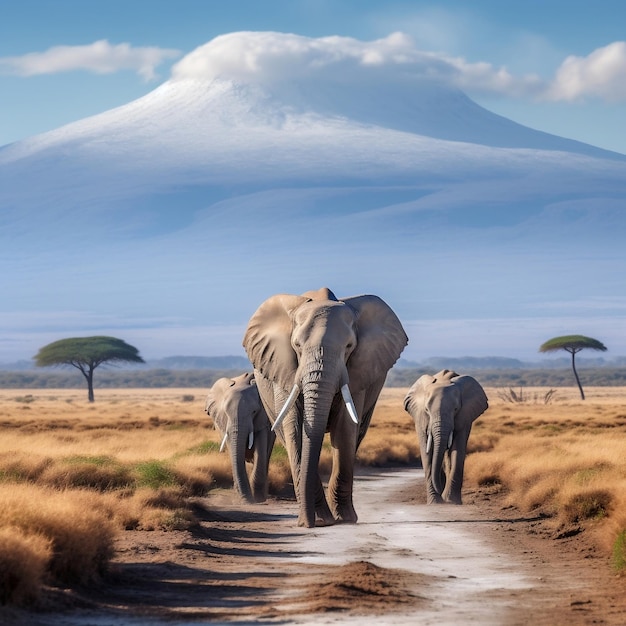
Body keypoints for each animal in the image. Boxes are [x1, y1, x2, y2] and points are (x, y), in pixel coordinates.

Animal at [204, 370, 274, 502]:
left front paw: (258, 498)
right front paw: (244, 498)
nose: (247, 500)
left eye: (254, 412)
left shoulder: (263, 418)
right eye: (225, 412)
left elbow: (261, 447)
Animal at [241, 288, 408, 528]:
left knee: (356, 435)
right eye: (297, 346)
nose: (305, 524)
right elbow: (294, 428)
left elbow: (345, 427)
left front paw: (344, 519)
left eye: (349, 347)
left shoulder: (357, 372)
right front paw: (320, 519)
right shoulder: (284, 368)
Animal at [402, 368, 486, 504]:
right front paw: (435, 502)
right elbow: (426, 453)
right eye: (426, 409)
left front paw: (452, 501)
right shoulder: (420, 417)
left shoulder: (464, 417)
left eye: (456, 409)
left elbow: (457, 450)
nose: (440, 492)